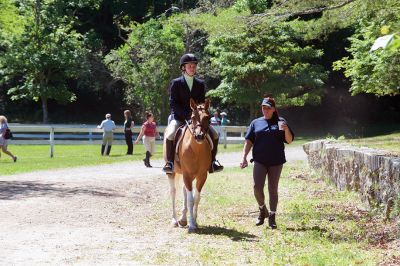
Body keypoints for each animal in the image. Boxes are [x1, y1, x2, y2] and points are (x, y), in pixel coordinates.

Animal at [162, 98, 212, 233]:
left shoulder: (202, 176)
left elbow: (196, 199)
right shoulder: (187, 175)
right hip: (172, 173)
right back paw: (174, 220)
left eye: (207, 117)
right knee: (173, 192)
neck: (196, 149)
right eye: (193, 117)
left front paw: (193, 221)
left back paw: (183, 219)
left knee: (185, 190)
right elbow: (190, 200)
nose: (199, 136)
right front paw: (192, 225)